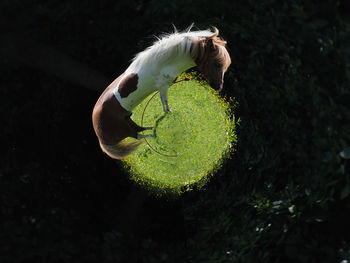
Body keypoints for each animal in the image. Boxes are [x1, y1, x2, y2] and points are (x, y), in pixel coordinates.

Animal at [91, 25, 231, 160]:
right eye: (217, 64)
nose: (218, 87)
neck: (164, 63)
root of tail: (99, 134)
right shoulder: (163, 87)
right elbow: (165, 104)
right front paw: (170, 115)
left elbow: (163, 103)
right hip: (124, 130)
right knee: (137, 136)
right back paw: (153, 136)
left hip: (127, 118)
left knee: (138, 128)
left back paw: (152, 128)